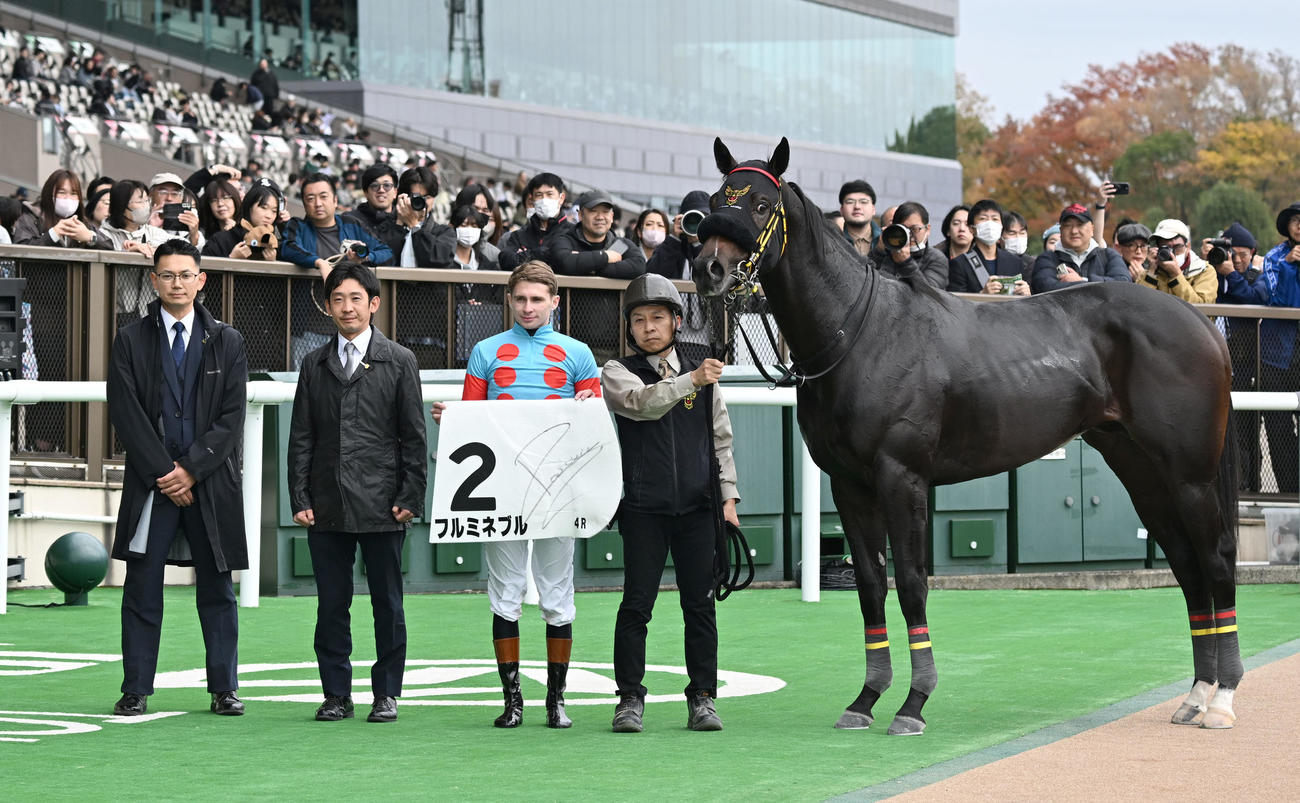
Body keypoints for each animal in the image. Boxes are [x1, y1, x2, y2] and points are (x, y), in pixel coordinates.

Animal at [691, 137, 1242, 734]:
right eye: (716, 201)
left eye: (761, 206)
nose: (708, 267)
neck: (863, 332)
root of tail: (1200, 323)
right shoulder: (850, 485)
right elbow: (870, 587)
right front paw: (865, 699)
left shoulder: (902, 478)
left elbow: (912, 584)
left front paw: (913, 704)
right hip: (1141, 472)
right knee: (1187, 566)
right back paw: (1196, 695)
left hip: (1189, 476)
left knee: (1216, 561)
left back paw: (1222, 699)